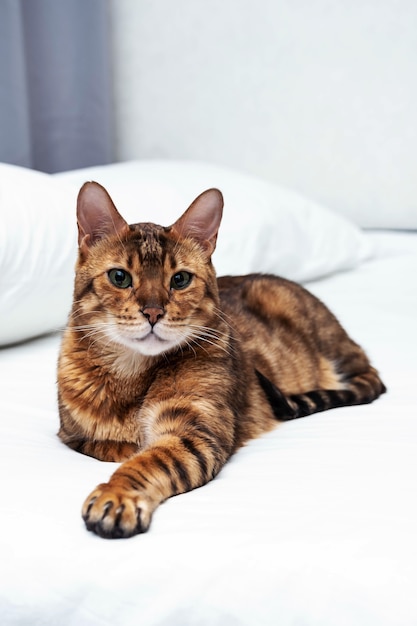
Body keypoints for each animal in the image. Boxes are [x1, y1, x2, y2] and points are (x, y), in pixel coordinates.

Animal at [57, 180, 386, 536]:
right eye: (120, 277)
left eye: (180, 279)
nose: (153, 312)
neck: (131, 377)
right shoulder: (71, 436)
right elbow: (109, 446)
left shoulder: (195, 432)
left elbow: (145, 461)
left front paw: (117, 495)